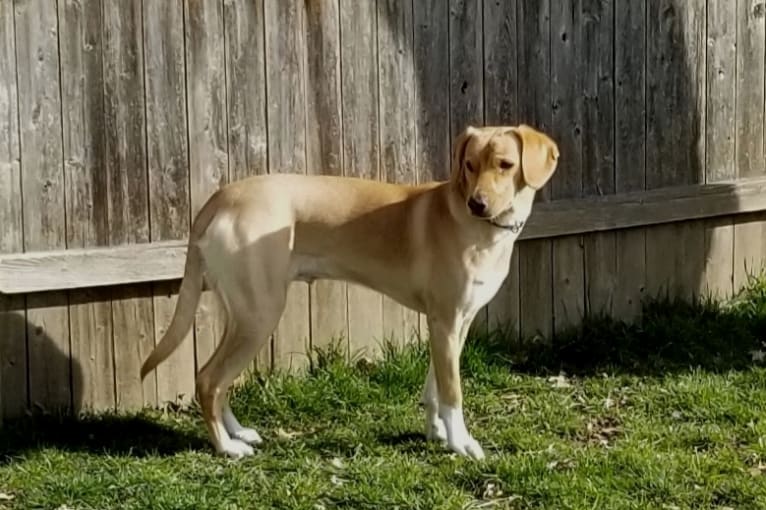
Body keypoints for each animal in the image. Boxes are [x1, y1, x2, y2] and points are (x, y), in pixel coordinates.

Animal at [140, 125, 560, 460]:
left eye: (505, 164)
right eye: (470, 164)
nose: (477, 203)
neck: (482, 230)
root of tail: (220, 198)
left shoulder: (455, 324)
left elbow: (436, 386)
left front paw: (437, 433)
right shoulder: (445, 321)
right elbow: (453, 392)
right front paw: (461, 443)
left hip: (242, 314)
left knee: (219, 379)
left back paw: (238, 432)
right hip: (259, 316)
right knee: (209, 379)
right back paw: (227, 447)